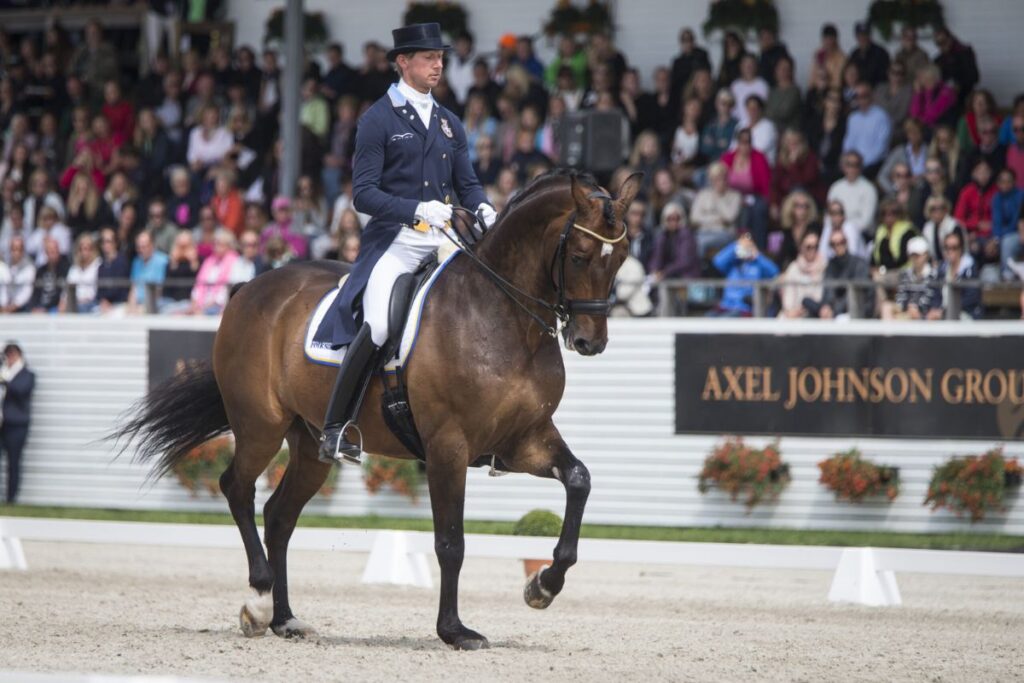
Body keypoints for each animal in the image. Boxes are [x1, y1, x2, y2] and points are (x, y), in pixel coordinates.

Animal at [112, 167, 638, 651]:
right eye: (579, 256)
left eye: (622, 258)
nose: (590, 342)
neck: (501, 316)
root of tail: (249, 289)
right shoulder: (449, 446)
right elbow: (451, 542)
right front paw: (455, 631)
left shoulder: (524, 439)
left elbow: (579, 480)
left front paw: (542, 586)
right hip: (260, 426)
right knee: (236, 489)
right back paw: (258, 603)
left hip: (310, 444)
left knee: (280, 515)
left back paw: (285, 619)